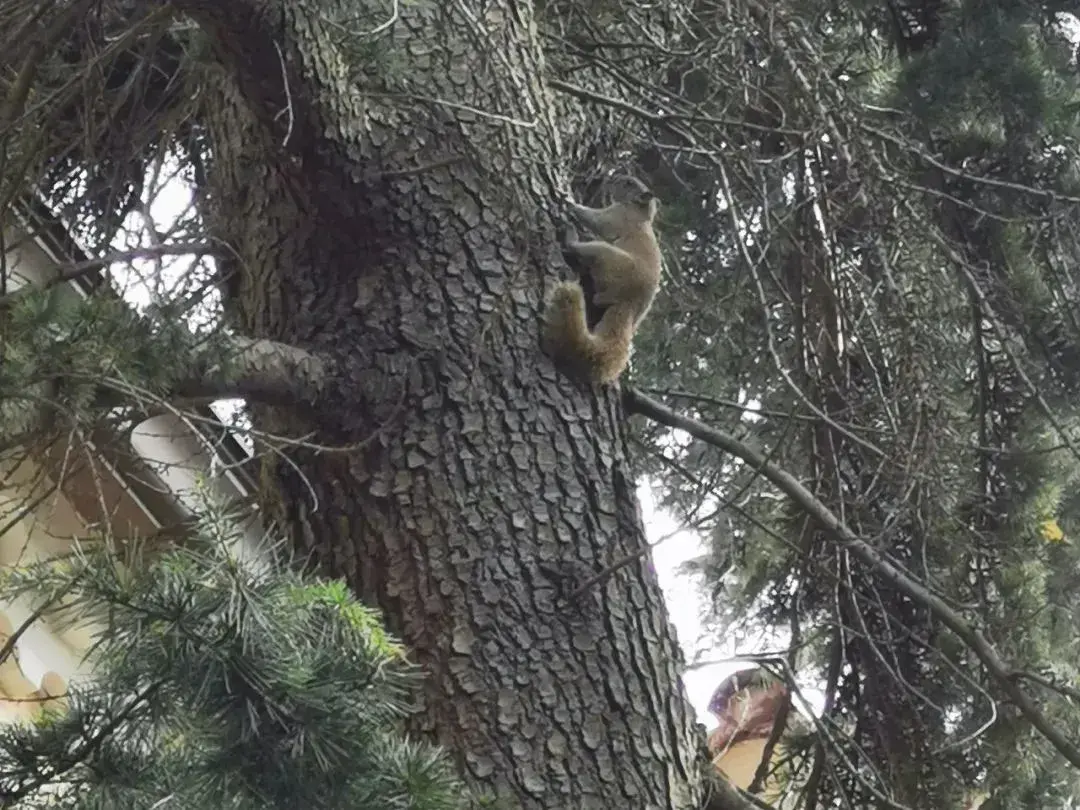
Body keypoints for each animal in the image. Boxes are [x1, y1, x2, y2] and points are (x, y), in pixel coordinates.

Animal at [544, 176, 660, 384]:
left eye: (629, 183)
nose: (613, 178)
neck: (640, 211)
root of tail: (628, 305)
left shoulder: (617, 215)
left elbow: (596, 219)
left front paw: (569, 202)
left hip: (606, 256)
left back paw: (570, 237)